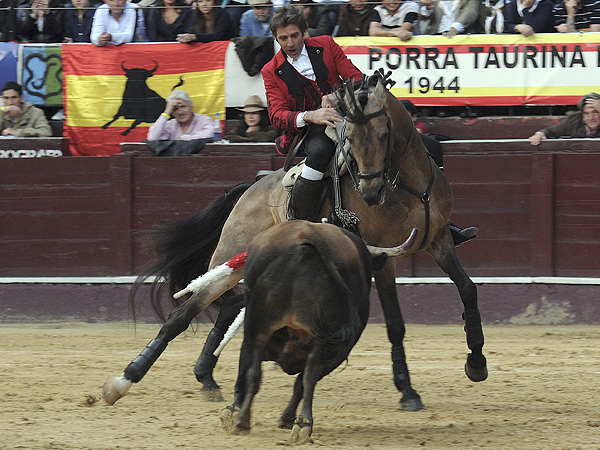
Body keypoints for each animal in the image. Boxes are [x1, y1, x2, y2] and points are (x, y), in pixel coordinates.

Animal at [103, 76, 488, 412]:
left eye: (383, 133)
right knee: (182, 315)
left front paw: (477, 362)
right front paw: (408, 392)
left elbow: (467, 289)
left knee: (232, 306)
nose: (370, 193)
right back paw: (123, 380)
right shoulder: (388, 257)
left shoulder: (439, 240)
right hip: (229, 260)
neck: (408, 185)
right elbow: (395, 323)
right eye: (349, 140)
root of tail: (252, 187)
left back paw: (205, 376)